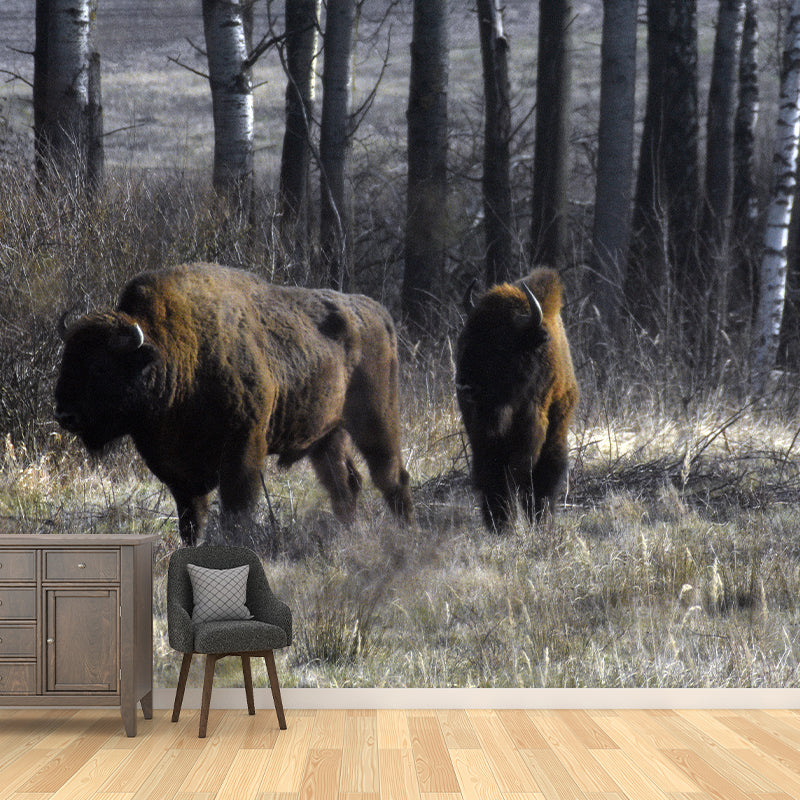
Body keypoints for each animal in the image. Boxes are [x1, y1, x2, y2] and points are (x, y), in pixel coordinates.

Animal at [55, 262, 414, 544]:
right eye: (66, 359)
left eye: (100, 367)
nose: (63, 414)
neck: (175, 353)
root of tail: (378, 313)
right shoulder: (179, 475)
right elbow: (192, 522)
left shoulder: (242, 451)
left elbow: (236, 513)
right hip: (326, 436)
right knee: (345, 484)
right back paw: (350, 534)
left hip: (376, 421)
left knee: (392, 477)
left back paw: (405, 534)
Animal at [455, 267, 578, 530]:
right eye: (465, 337)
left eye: (500, 343)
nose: (464, 385)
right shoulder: (483, 437)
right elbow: (495, 477)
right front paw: (501, 524)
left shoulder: (545, 431)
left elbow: (539, 477)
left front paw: (539, 522)